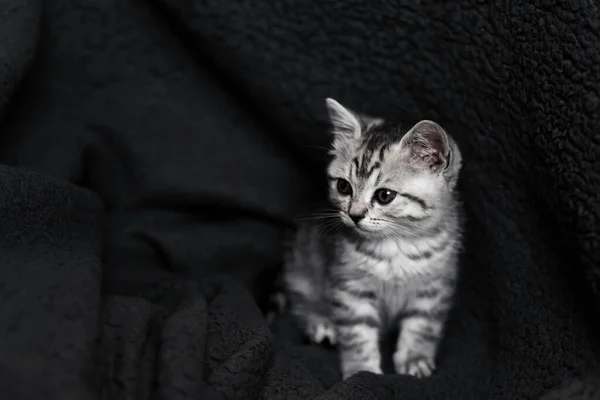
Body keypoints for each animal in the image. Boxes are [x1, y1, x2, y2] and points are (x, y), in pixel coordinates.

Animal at [282, 98, 464, 380]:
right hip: (302, 265)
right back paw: (320, 321)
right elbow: (357, 333)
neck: (397, 245)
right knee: (301, 297)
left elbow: (422, 325)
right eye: (343, 187)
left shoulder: (435, 286)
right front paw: (361, 370)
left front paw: (415, 358)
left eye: (384, 195)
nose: (354, 215)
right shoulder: (350, 288)